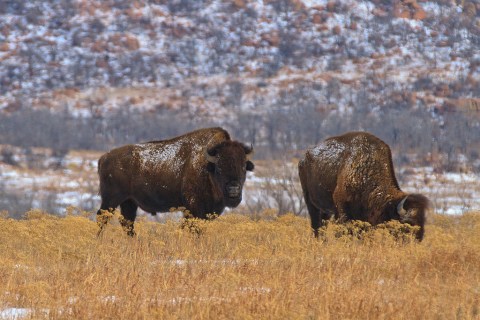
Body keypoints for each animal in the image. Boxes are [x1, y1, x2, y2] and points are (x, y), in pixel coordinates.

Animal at [97, 127, 255, 235]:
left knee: (127, 222)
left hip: (129, 201)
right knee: (102, 217)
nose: (233, 189)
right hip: (111, 199)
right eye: (219, 168)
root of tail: (104, 157)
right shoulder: (194, 207)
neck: (207, 166)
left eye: (243, 167)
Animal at [298, 131, 430, 240]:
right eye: (407, 223)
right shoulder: (342, 209)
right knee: (316, 223)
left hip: (326, 209)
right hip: (309, 201)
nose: (418, 239)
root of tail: (304, 158)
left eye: (423, 221)